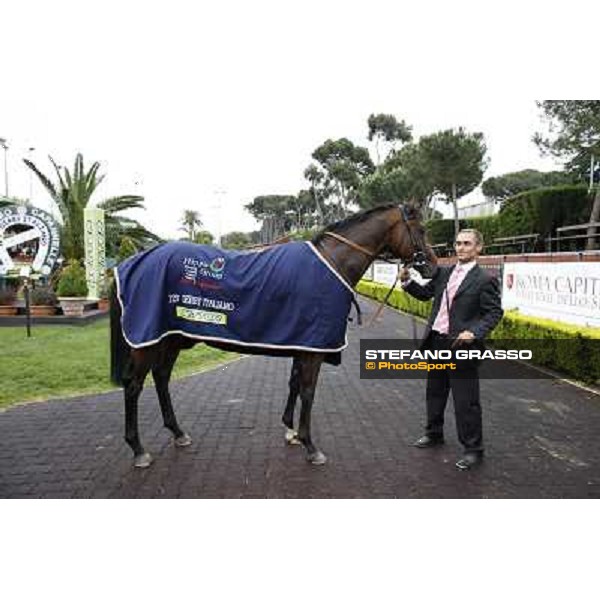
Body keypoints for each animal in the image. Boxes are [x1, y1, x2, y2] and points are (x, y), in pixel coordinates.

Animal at [109, 205, 436, 468]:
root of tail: (133, 261)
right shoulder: (313, 349)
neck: (331, 262)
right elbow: (308, 391)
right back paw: (138, 449)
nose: (432, 266)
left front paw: (290, 431)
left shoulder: (301, 342)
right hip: (148, 342)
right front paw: (310, 446)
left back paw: (178, 433)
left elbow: (294, 384)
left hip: (171, 338)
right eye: (421, 229)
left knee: (162, 377)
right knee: (134, 385)